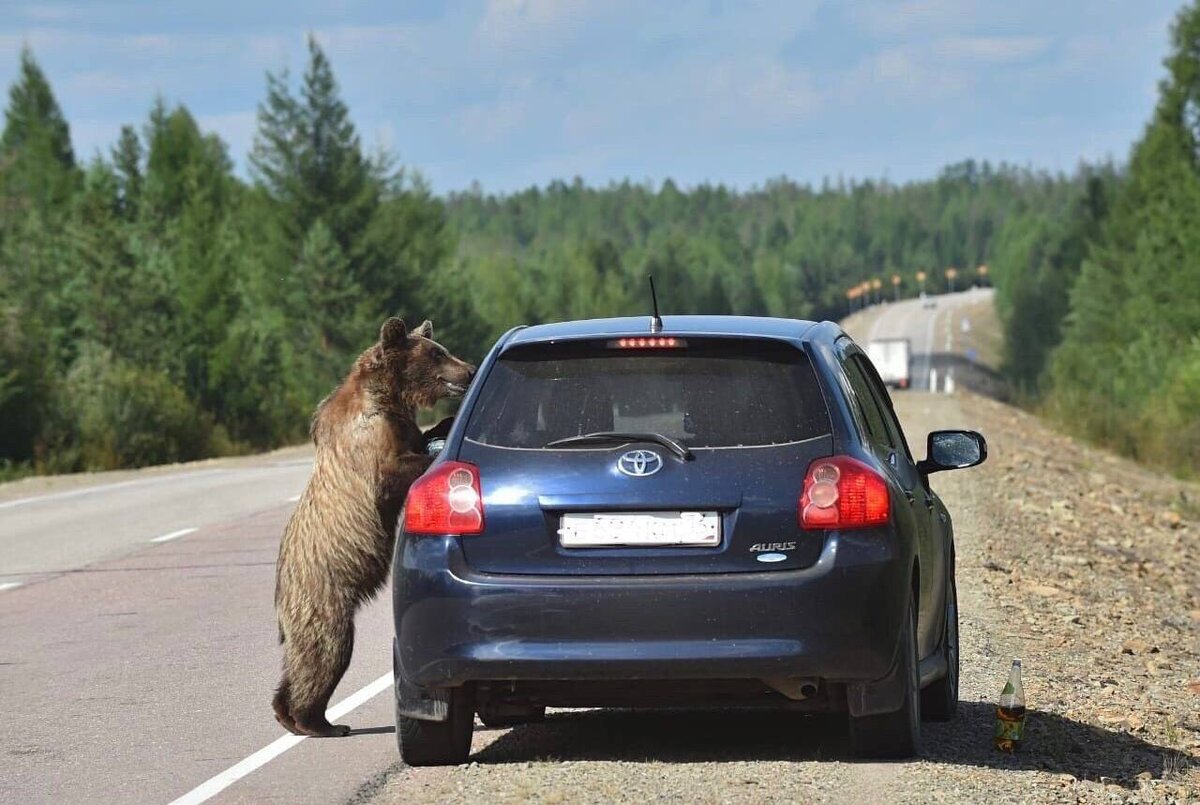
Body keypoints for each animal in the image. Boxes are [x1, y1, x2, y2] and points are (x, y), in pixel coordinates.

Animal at [274, 316, 475, 739]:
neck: (389, 396)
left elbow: (421, 436)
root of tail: (282, 596)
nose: (468, 371)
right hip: (322, 596)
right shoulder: (369, 440)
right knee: (327, 651)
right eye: (437, 353)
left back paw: (285, 712)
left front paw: (446, 425)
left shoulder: (399, 423)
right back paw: (319, 721)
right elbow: (391, 470)